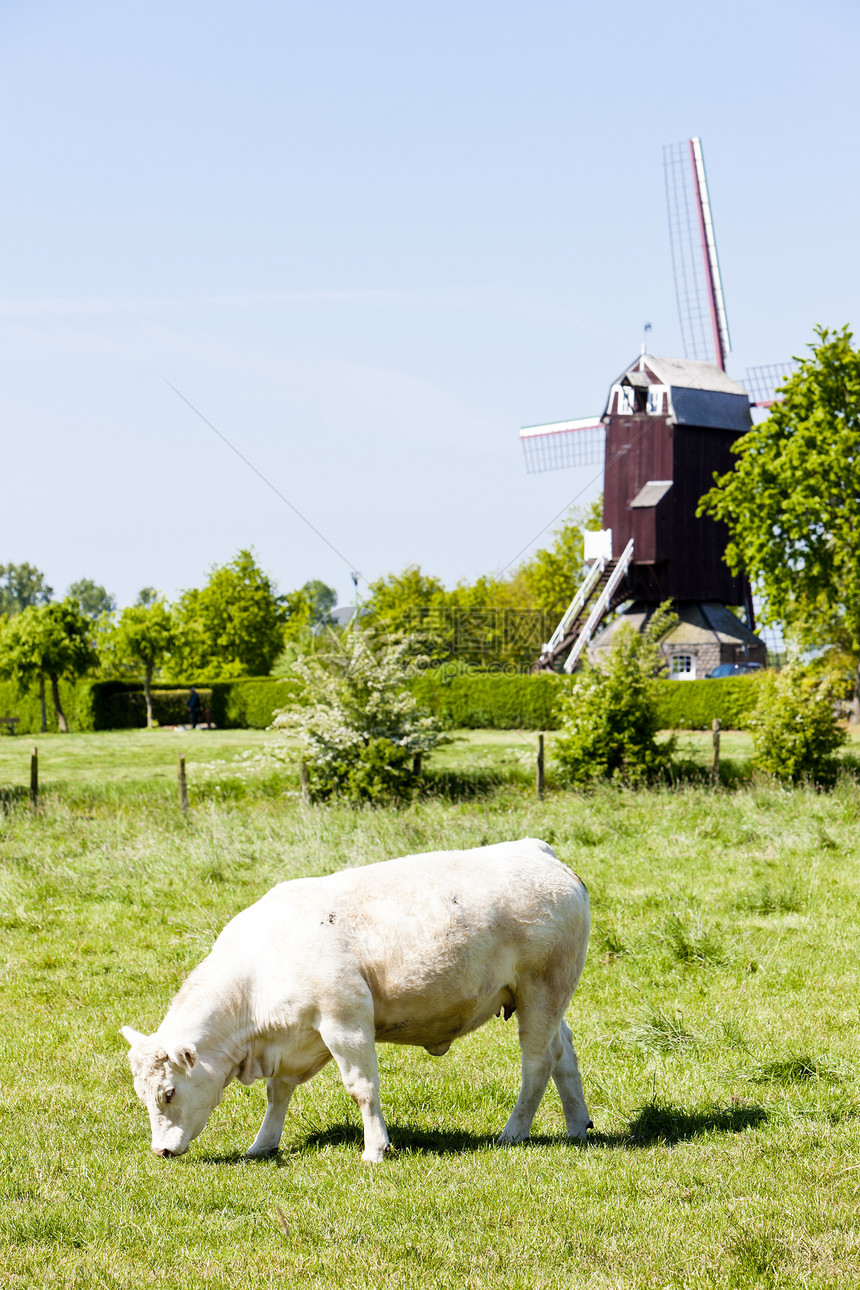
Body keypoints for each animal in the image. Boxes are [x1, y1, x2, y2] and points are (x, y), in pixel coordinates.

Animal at [121, 835, 593, 1161]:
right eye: (143, 1095)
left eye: (168, 1093)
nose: (161, 1151)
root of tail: (536, 850)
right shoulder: (293, 1040)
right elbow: (278, 1094)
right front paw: (263, 1143)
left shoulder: (345, 1021)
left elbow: (362, 1087)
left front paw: (375, 1149)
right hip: (541, 998)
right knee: (563, 1049)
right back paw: (577, 1126)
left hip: (543, 989)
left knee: (537, 1063)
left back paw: (513, 1132)